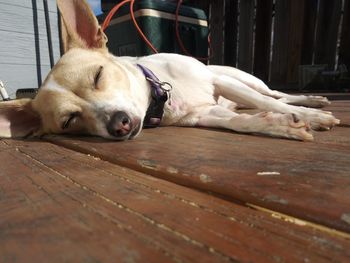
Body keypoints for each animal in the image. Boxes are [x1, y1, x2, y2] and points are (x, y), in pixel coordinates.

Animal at [0, 0, 340, 142]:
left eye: (98, 75)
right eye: (70, 120)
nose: (118, 124)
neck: (162, 98)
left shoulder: (218, 82)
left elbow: (265, 103)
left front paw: (310, 117)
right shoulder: (205, 114)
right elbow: (239, 122)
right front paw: (278, 125)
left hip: (242, 79)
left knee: (275, 94)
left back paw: (313, 101)